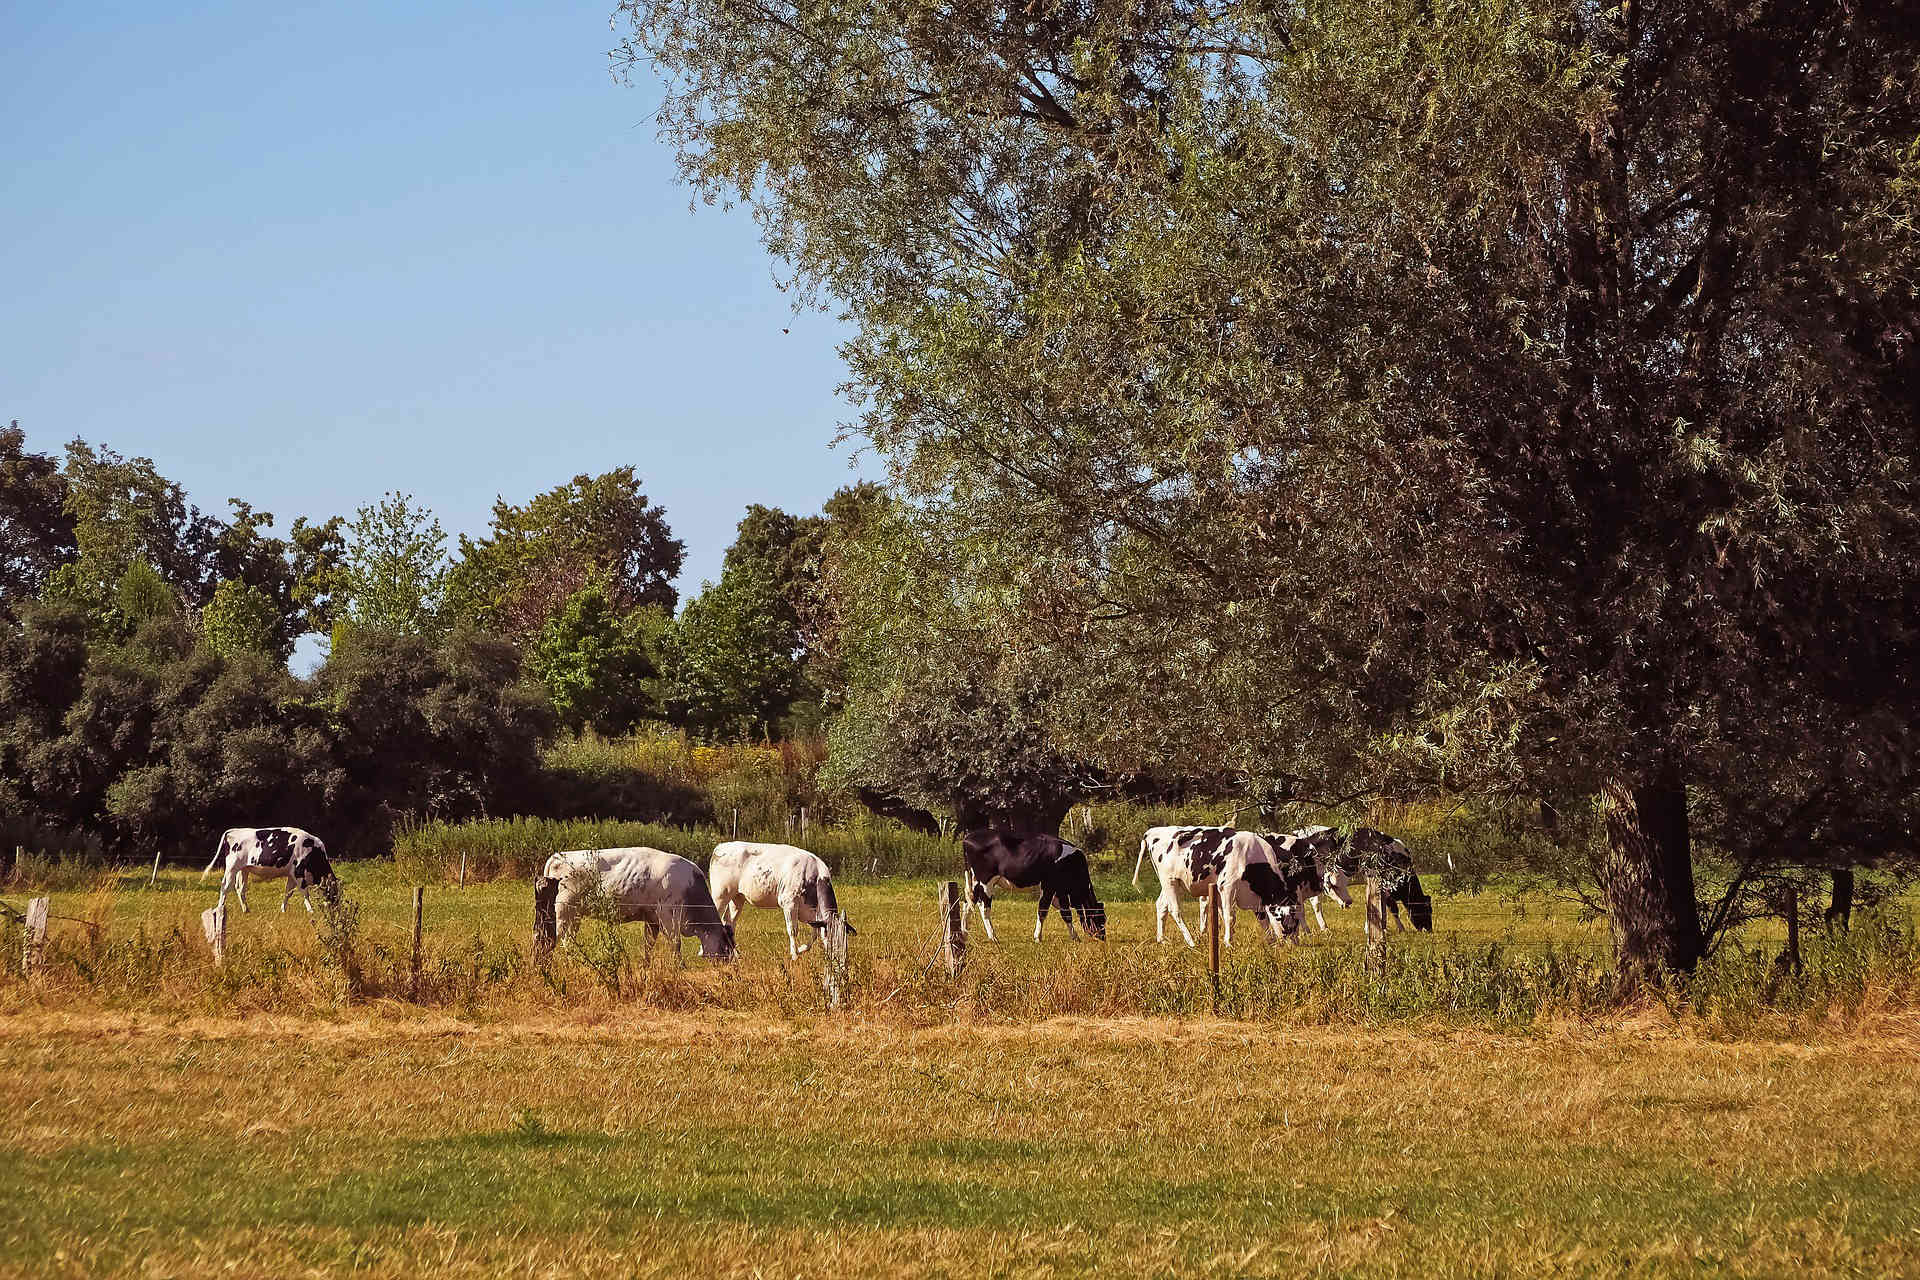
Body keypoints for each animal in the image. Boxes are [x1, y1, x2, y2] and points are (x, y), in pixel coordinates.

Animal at [200, 825, 336, 917]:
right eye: (335, 893)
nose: (335, 911)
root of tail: (234, 830)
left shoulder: (291, 875)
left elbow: (288, 893)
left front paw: (283, 910)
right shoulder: (299, 873)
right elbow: (305, 893)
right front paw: (311, 911)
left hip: (243, 869)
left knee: (240, 888)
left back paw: (246, 910)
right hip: (231, 867)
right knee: (225, 887)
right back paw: (220, 910)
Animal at [549, 844, 741, 955]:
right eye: (726, 949)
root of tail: (558, 856)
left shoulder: (652, 920)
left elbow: (648, 947)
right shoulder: (668, 917)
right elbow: (675, 945)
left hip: (574, 915)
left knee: (568, 940)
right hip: (563, 912)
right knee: (556, 938)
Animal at [706, 840, 856, 959]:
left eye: (844, 936)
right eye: (832, 935)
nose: (839, 956)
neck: (813, 876)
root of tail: (721, 846)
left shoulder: (811, 912)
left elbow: (815, 933)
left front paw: (801, 949)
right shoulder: (789, 902)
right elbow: (793, 929)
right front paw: (794, 955)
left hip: (737, 898)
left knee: (729, 924)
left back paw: (735, 954)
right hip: (720, 894)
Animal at [960, 832, 1113, 940]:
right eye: (1100, 918)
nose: (1102, 938)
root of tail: (968, 837)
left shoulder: (1061, 891)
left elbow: (1066, 913)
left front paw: (1075, 937)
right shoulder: (1049, 886)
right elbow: (1043, 910)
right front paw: (1037, 937)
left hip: (974, 881)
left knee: (968, 903)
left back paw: (964, 933)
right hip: (986, 881)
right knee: (983, 906)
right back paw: (993, 937)